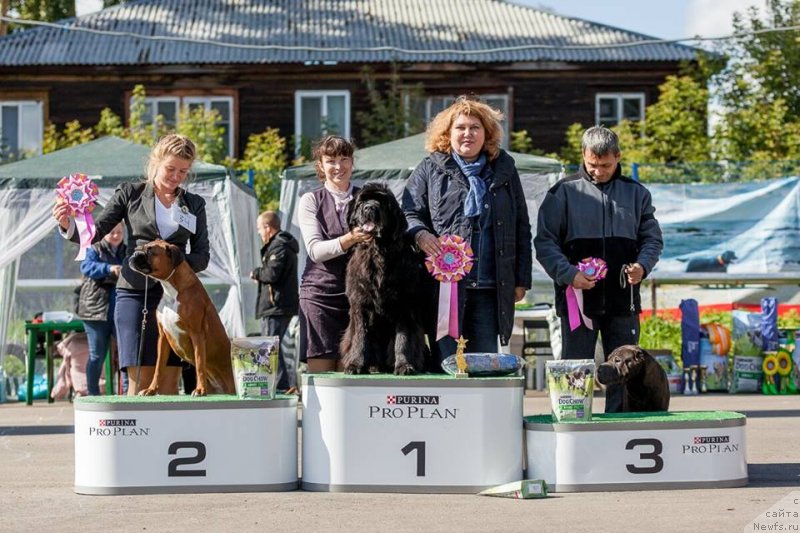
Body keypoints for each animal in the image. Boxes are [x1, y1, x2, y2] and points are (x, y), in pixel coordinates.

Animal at [129, 240, 234, 394]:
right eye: (139, 247)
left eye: (150, 251)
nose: (135, 253)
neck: (172, 290)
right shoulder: (163, 337)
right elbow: (158, 368)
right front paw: (151, 389)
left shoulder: (197, 334)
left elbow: (199, 362)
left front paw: (200, 390)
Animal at [340, 183, 428, 374]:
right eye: (362, 202)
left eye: (382, 202)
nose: (369, 208)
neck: (378, 251)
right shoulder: (360, 304)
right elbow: (361, 337)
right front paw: (355, 364)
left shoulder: (404, 305)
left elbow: (402, 339)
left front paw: (404, 365)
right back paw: (373, 366)